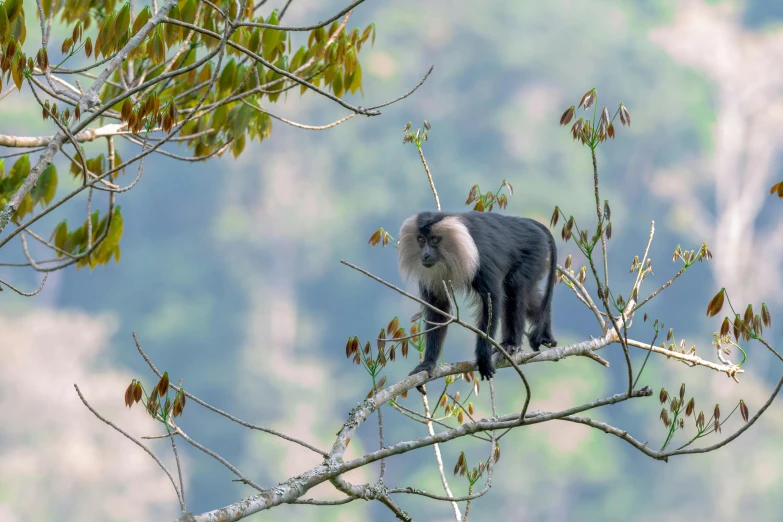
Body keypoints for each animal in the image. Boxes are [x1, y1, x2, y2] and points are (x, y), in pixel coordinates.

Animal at [398, 209, 556, 388]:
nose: (425, 254)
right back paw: (545, 334)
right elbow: (438, 310)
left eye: (434, 240)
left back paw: (510, 344)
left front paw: (484, 358)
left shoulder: (482, 258)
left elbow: (492, 300)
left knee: (515, 287)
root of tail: (530, 223)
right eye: (421, 240)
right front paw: (428, 364)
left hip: (534, 253)